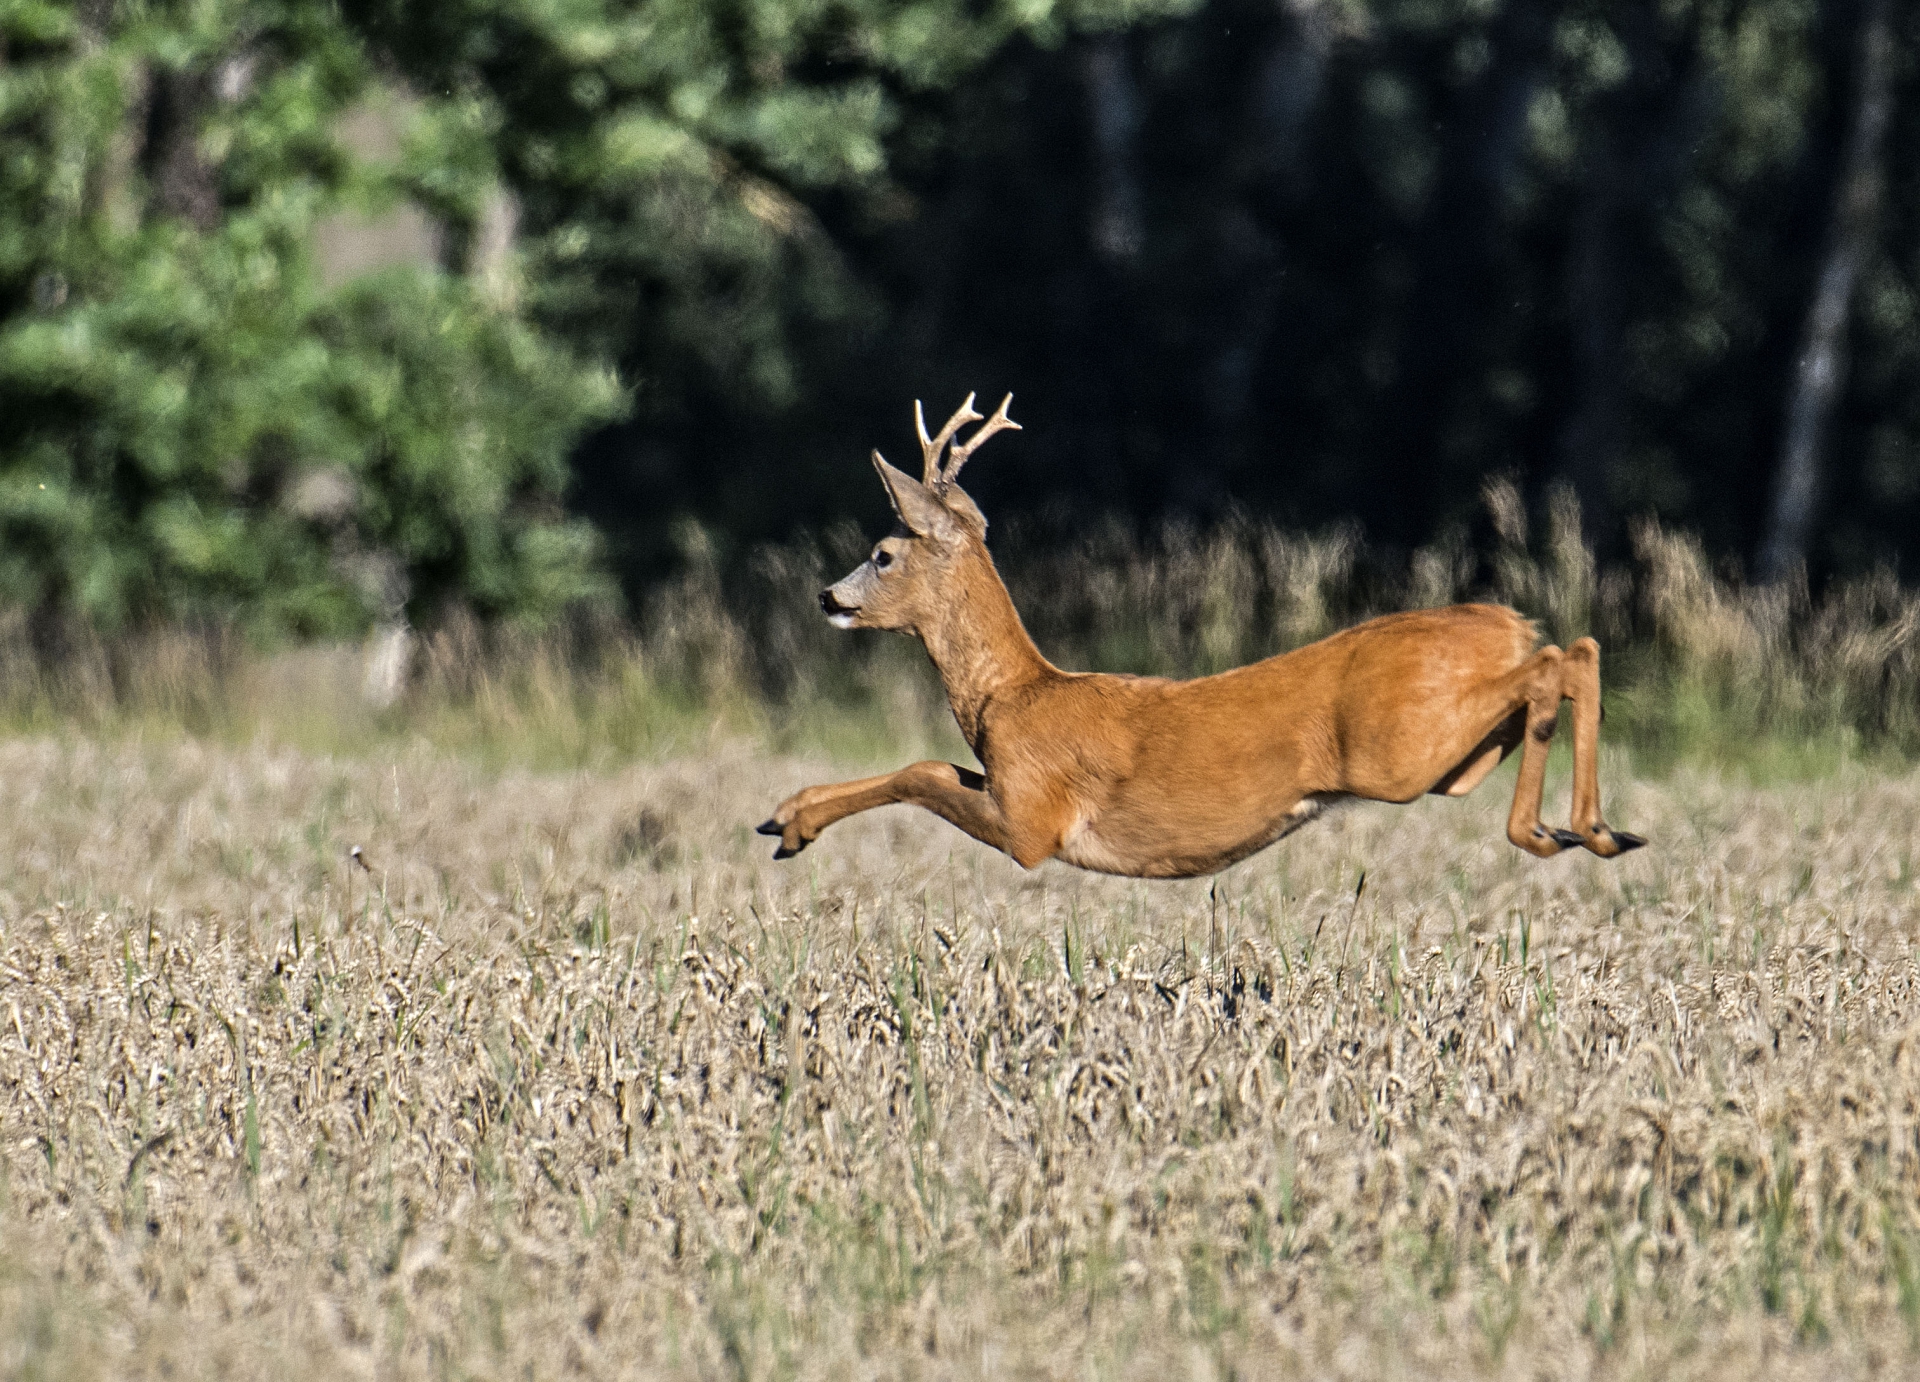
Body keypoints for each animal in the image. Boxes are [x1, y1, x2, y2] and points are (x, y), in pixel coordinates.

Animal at [756, 393, 1643, 879]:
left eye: (884, 553)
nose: (828, 596)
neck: (1015, 695)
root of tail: (1503, 623)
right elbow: (934, 764)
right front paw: (785, 817)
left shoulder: (1034, 823)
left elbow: (921, 771)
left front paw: (789, 825)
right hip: (1454, 761)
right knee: (1573, 656)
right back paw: (1593, 828)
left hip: (1398, 749)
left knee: (1560, 660)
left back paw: (1562, 830)